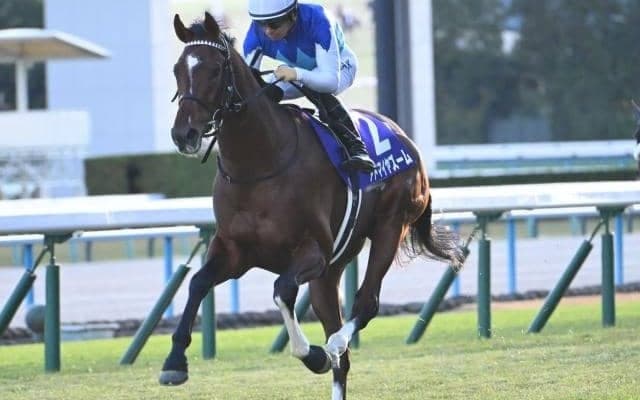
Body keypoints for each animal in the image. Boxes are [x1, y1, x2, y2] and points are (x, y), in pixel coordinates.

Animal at [160, 12, 466, 399]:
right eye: (177, 69)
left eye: (215, 70)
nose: (183, 134)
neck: (258, 165)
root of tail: (404, 138)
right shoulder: (234, 250)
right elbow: (197, 283)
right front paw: (174, 362)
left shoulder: (313, 251)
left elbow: (283, 291)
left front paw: (313, 355)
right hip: (332, 269)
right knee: (343, 357)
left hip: (389, 227)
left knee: (365, 306)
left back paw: (333, 344)